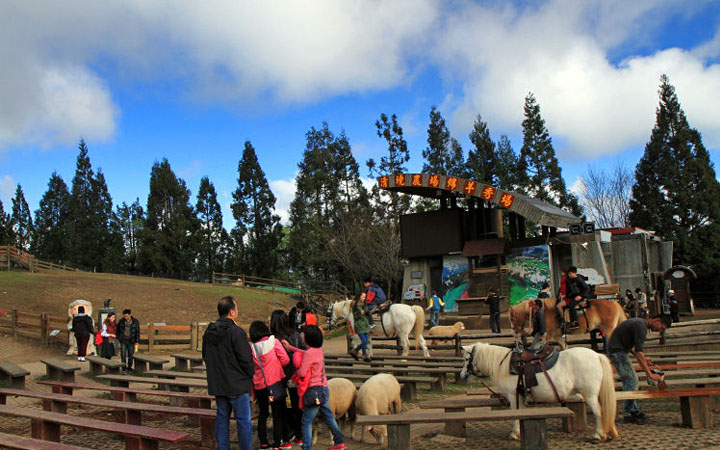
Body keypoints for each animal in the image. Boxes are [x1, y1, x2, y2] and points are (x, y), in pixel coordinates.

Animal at [462, 342, 620, 442]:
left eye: (466, 358)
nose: (462, 375)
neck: (504, 364)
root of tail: (597, 356)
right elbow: (521, 414)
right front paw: (519, 433)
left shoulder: (513, 396)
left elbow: (515, 414)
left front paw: (514, 434)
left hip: (590, 394)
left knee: (599, 412)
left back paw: (598, 435)